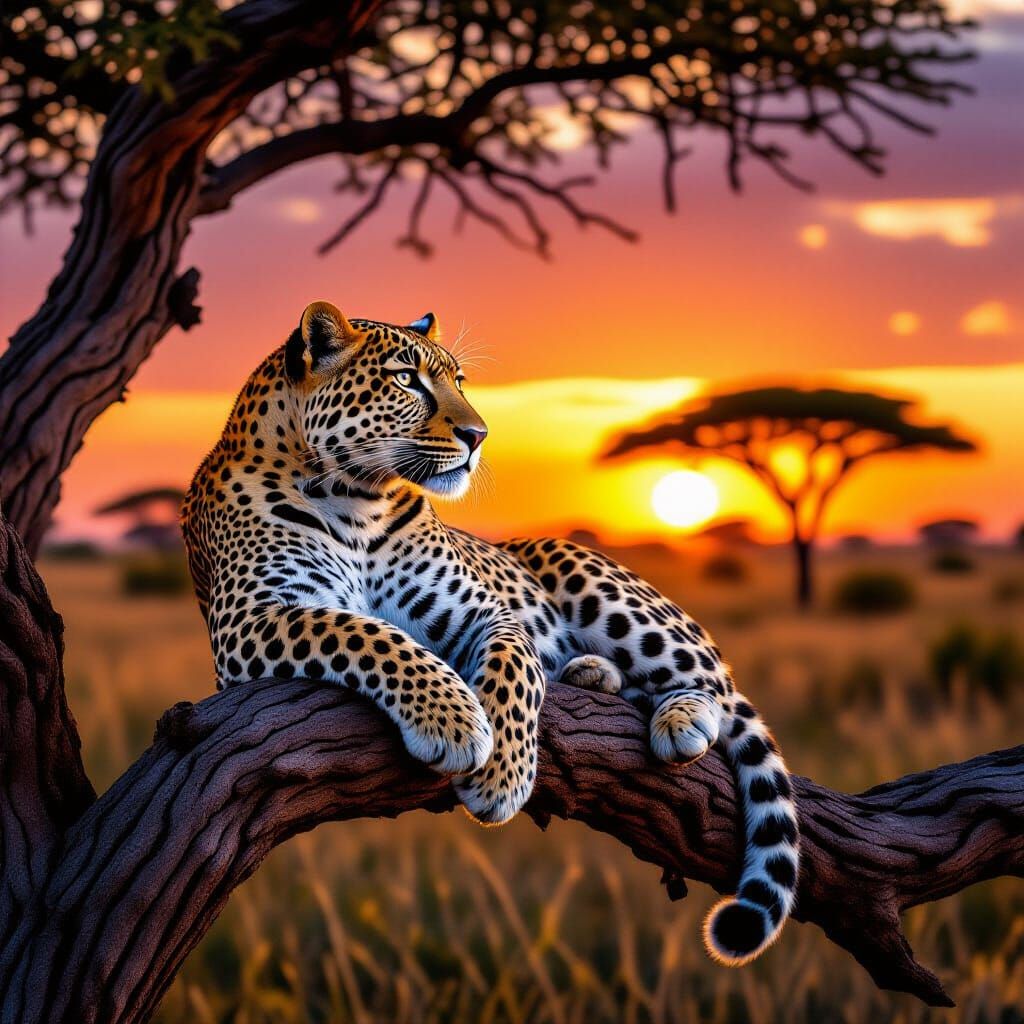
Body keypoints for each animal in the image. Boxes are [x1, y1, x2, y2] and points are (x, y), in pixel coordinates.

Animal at [181, 301, 800, 965]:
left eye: (459, 381)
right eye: (407, 380)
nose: (478, 436)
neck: (356, 502)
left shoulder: (487, 611)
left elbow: (513, 664)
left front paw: (501, 772)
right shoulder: (251, 622)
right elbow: (365, 631)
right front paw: (452, 721)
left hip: (595, 582)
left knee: (717, 683)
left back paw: (681, 715)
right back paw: (592, 675)